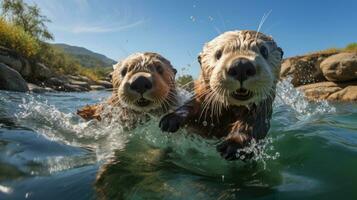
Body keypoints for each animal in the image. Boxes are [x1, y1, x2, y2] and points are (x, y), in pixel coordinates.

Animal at [160, 29, 282, 160]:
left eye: (264, 50)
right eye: (218, 54)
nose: (241, 65)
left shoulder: (261, 113)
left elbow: (253, 126)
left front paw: (234, 144)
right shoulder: (201, 99)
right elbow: (190, 106)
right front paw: (170, 119)